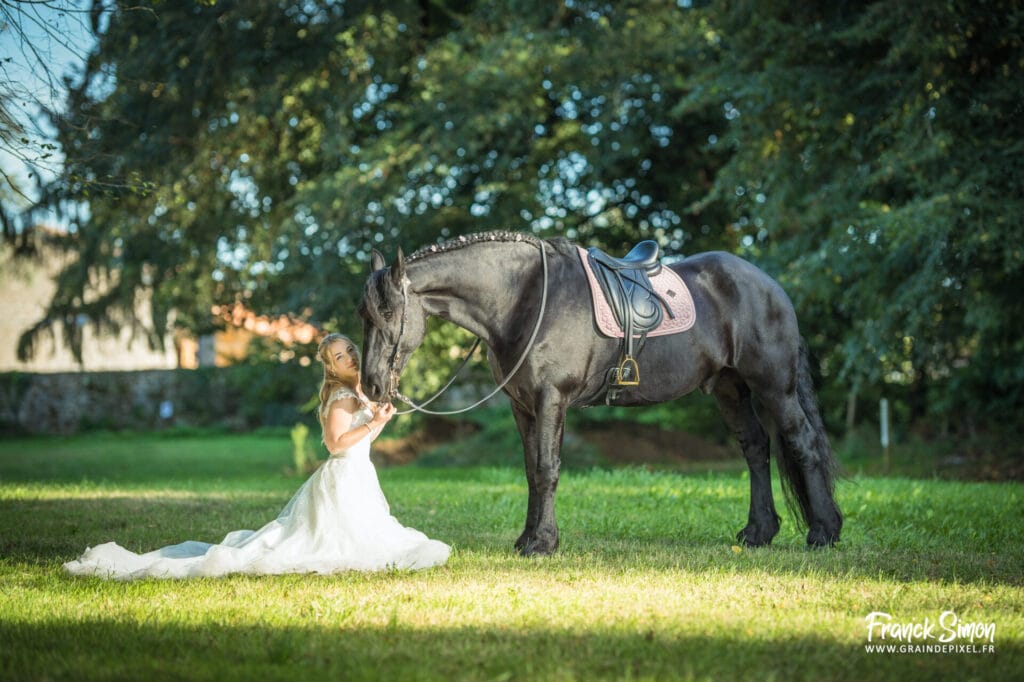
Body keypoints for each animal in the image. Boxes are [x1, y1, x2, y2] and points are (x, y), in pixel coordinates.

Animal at [358, 231, 842, 556]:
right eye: (364, 315)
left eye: (389, 312)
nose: (373, 384)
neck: (523, 299)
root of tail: (769, 285)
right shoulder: (522, 407)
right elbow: (531, 470)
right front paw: (528, 537)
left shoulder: (551, 399)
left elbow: (547, 469)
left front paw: (542, 543)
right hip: (729, 389)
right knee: (756, 449)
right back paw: (759, 532)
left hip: (773, 386)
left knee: (801, 444)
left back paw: (823, 532)